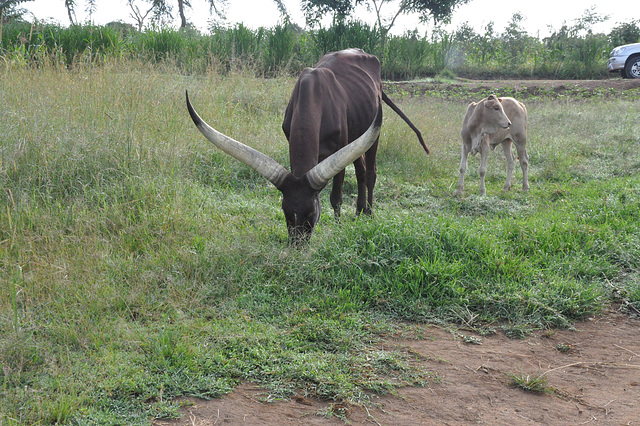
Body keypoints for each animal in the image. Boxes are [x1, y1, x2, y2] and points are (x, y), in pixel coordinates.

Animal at [188, 48, 432, 245]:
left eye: (312, 212)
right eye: (285, 210)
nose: (298, 246)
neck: (313, 97)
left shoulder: (339, 151)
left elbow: (336, 197)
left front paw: (338, 228)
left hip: (372, 134)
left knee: (370, 172)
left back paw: (369, 214)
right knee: (361, 171)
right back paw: (359, 212)